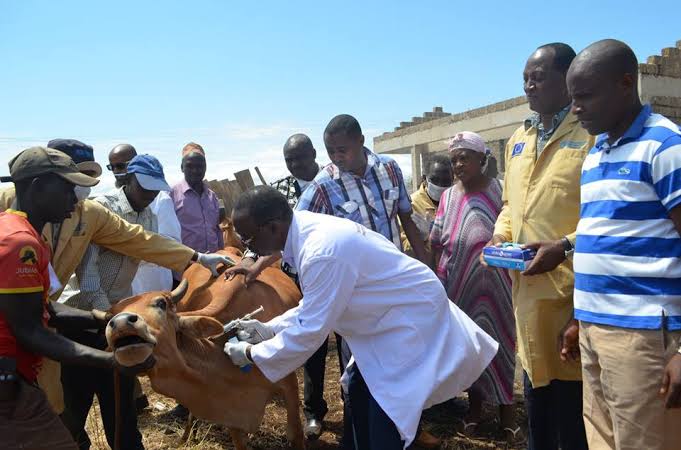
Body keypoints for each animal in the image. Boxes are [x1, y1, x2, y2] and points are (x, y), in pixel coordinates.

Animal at [105, 248, 302, 448]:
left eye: (161, 303)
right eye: (109, 318)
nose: (121, 322)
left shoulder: (289, 384)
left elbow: (294, 434)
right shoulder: (228, 412)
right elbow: (239, 441)